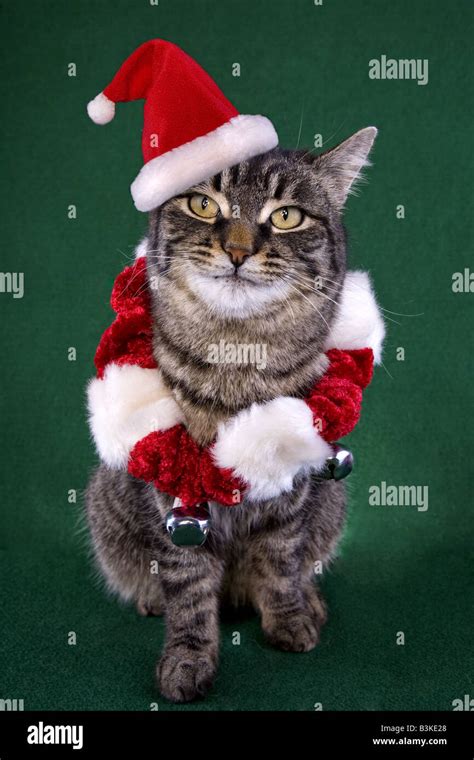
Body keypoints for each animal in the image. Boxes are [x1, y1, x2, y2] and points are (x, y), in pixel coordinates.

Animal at [86, 124, 378, 700]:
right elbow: (189, 586)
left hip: (331, 500)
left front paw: (289, 618)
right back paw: (151, 597)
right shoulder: (175, 491)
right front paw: (188, 657)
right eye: (203, 205)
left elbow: (281, 561)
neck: (236, 359)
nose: (238, 250)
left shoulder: (294, 473)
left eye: (286, 216)